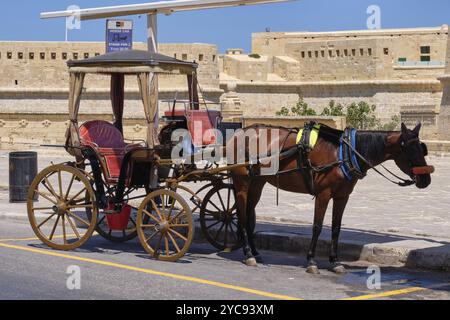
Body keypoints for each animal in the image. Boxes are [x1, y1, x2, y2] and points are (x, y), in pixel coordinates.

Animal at [229, 124, 432, 274]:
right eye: (409, 150)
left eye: (422, 149)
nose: (426, 180)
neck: (345, 152)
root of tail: (239, 133)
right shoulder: (323, 194)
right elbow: (317, 226)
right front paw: (311, 260)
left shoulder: (342, 196)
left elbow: (336, 228)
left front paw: (335, 261)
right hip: (242, 182)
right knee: (242, 215)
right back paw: (248, 254)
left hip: (258, 183)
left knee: (249, 215)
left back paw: (255, 252)